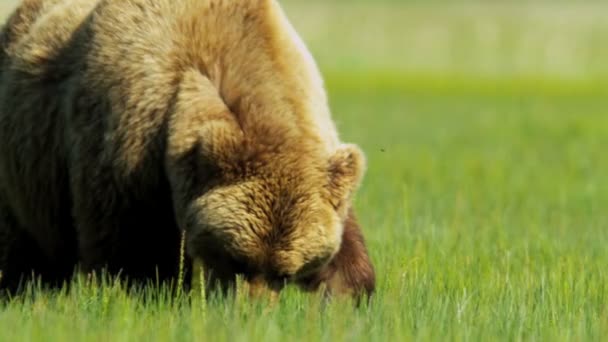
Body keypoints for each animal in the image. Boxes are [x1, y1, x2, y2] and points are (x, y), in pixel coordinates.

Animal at [0, 0, 376, 300]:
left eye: (284, 272)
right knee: (28, 248)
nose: (251, 309)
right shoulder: (130, 139)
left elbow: (344, 251)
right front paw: (148, 294)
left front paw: (346, 297)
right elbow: (133, 247)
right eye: (237, 259)